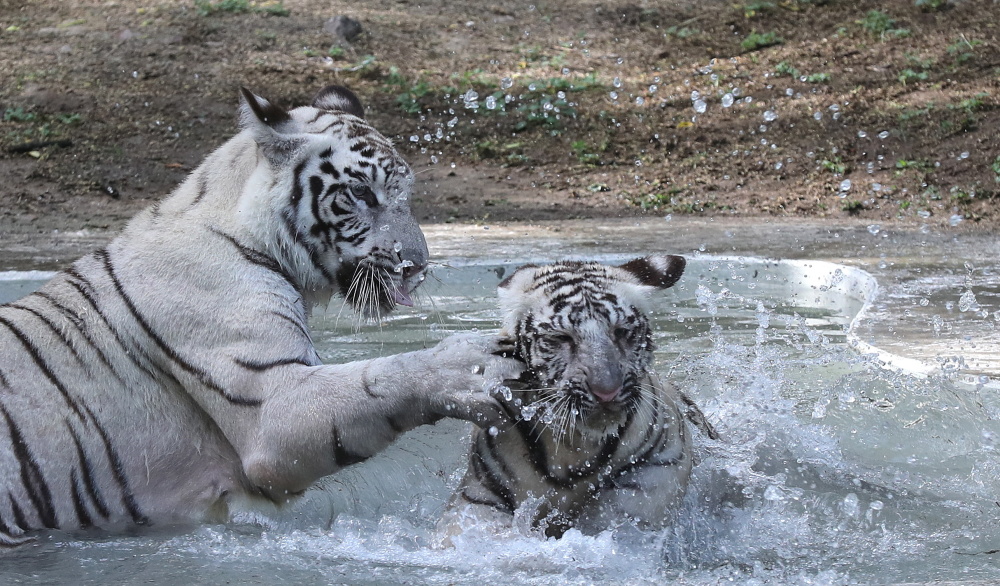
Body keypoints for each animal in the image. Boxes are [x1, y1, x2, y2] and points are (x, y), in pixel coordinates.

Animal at [0, 84, 520, 540]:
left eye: (405, 195)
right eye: (361, 194)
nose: (417, 266)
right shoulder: (271, 405)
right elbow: (379, 376)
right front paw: (467, 366)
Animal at [446, 256, 720, 540]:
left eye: (621, 332)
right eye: (561, 337)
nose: (606, 390)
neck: (574, 446)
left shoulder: (657, 468)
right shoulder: (481, 492)